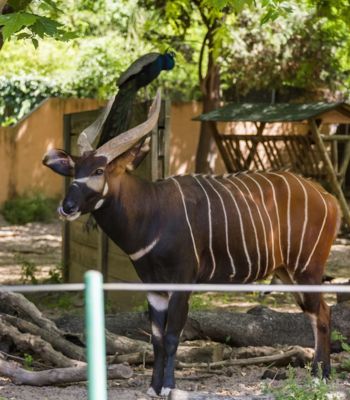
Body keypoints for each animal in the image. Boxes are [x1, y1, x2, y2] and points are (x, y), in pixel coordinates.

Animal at [43, 90, 340, 396]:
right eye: (75, 169)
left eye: (99, 170)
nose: (67, 207)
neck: (152, 213)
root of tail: (328, 198)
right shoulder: (154, 287)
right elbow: (156, 338)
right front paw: (153, 387)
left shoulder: (182, 282)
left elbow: (173, 335)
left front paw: (168, 388)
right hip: (288, 272)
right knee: (319, 312)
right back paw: (320, 373)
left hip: (307, 269)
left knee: (323, 312)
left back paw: (320, 376)